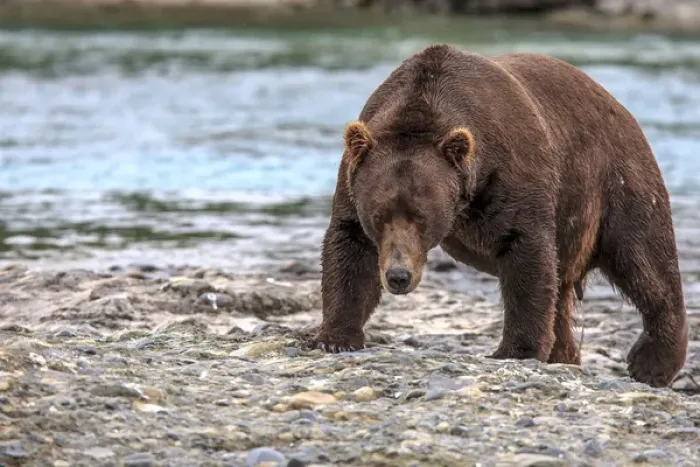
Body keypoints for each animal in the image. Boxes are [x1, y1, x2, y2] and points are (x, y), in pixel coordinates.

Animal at [308, 43, 689, 388]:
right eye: (379, 215)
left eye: (421, 216)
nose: (399, 276)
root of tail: (619, 106)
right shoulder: (355, 177)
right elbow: (350, 249)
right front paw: (334, 336)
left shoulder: (512, 174)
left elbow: (527, 257)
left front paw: (516, 350)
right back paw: (564, 355)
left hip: (613, 181)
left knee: (642, 259)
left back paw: (652, 363)